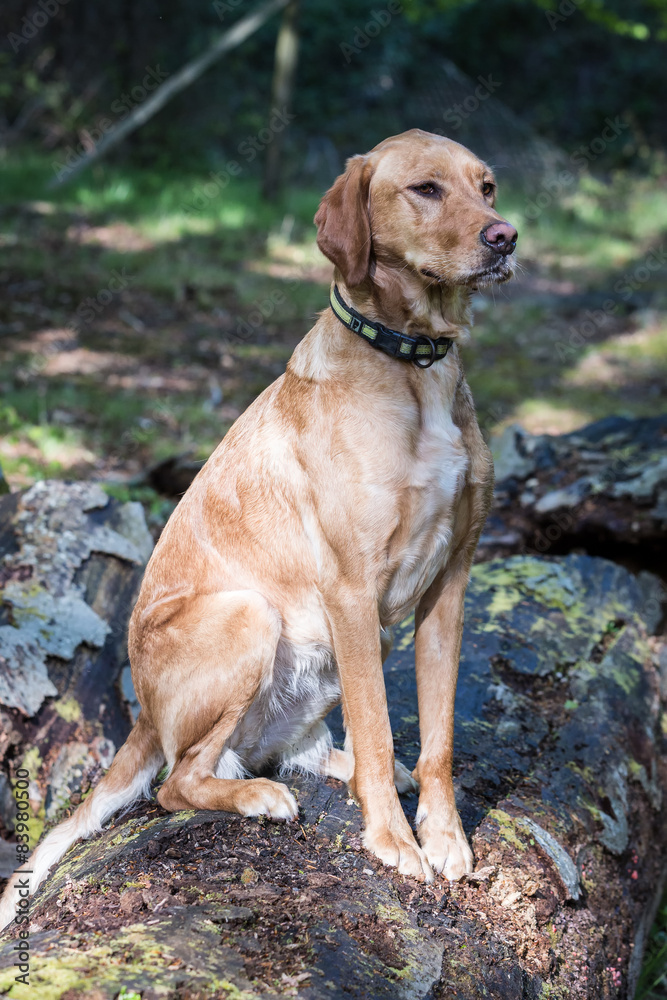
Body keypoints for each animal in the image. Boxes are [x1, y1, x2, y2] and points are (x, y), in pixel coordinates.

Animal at [0, 127, 516, 928]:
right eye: (426, 189)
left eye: (485, 187)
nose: (505, 236)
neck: (415, 367)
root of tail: (140, 718)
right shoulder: (351, 589)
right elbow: (377, 724)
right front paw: (394, 843)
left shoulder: (451, 582)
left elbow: (436, 739)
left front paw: (444, 838)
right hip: (249, 615)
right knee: (179, 780)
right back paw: (258, 796)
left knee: (297, 751)